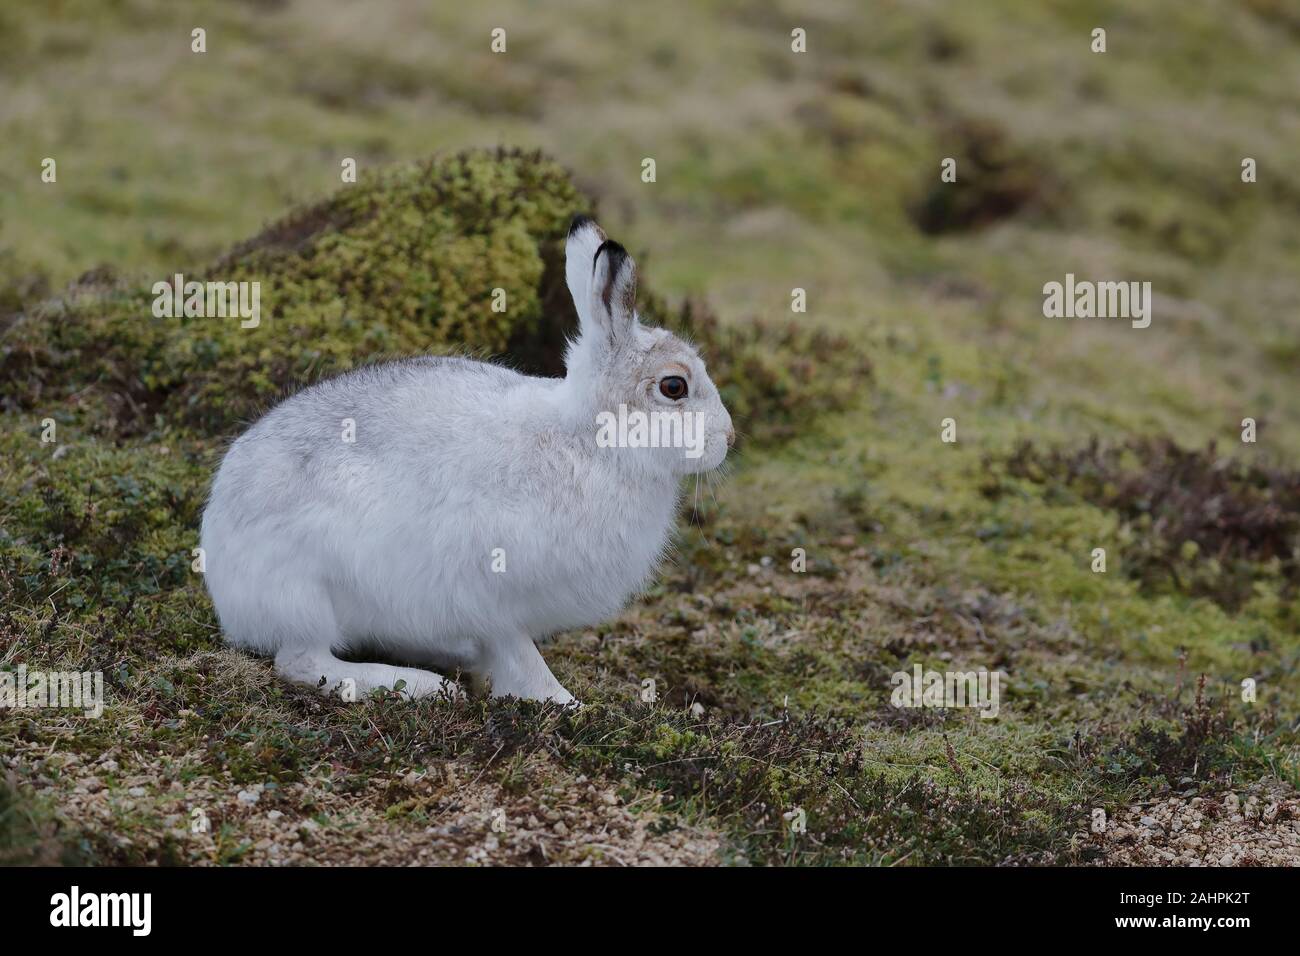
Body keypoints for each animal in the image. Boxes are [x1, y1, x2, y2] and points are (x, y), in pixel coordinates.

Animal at [199, 216, 734, 705]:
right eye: (673, 387)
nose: (728, 437)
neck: (590, 439)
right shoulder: (489, 590)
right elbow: (519, 651)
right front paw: (563, 701)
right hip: (307, 593)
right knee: (301, 662)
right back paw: (417, 685)